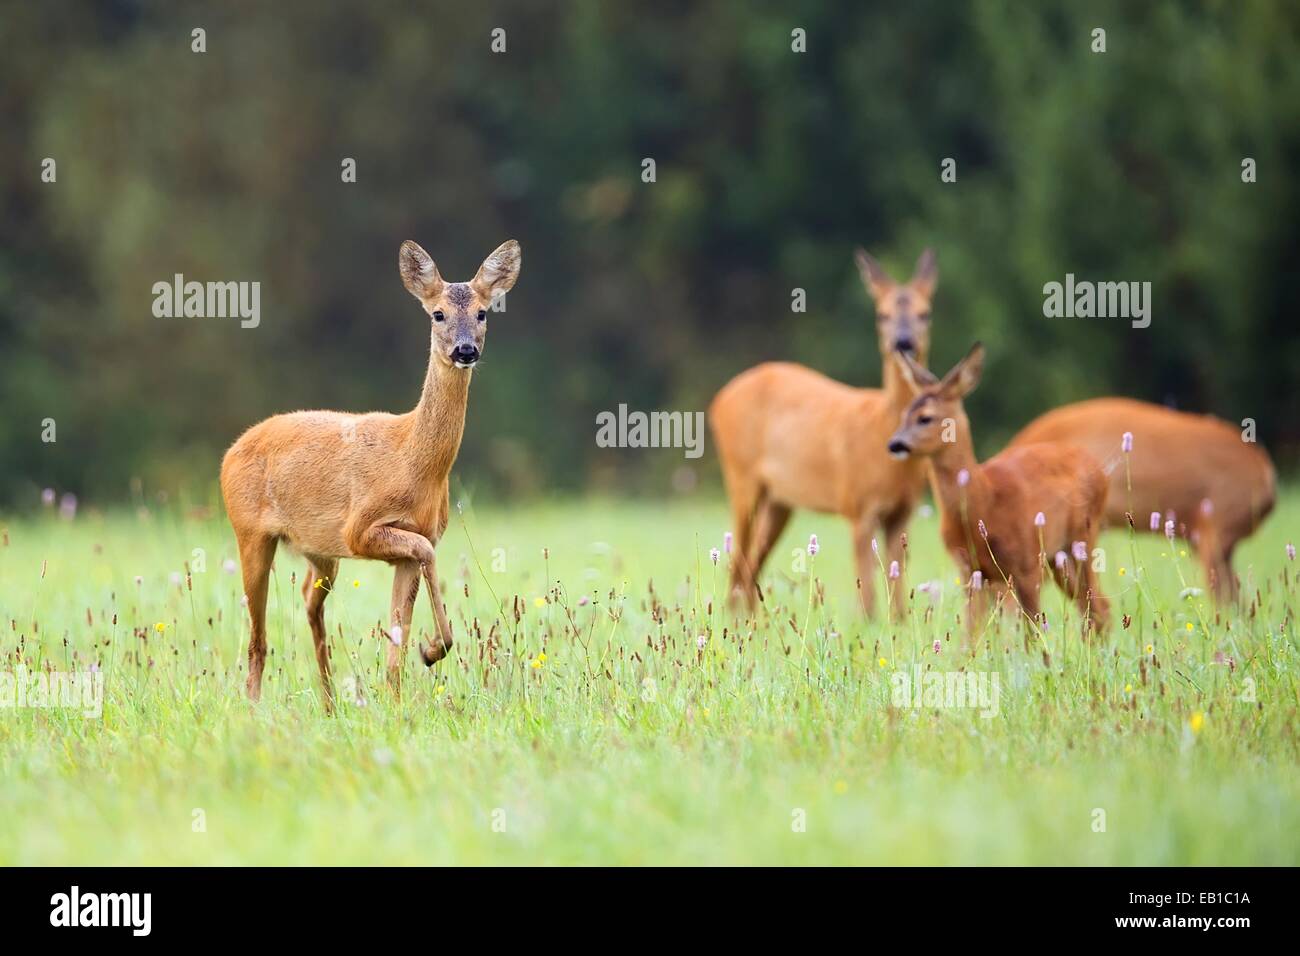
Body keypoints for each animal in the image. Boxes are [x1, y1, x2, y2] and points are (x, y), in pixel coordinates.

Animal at [220, 238, 520, 712]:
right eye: (437, 313)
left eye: (483, 312)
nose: (465, 350)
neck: (412, 461)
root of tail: (230, 452)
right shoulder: (360, 529)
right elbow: (424, 560)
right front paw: (432, 650)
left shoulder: (410, 543)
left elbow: (400, 629)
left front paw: (401, 694)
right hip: (250, 533)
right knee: (257, 636)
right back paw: (254, 708)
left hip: (319, 551)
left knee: (309, 602)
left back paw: (328, 703)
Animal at [707, 251, 941, 616]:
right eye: (882, 314)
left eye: (925, 313)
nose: (903, 343)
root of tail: (719, 399)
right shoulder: (858, 504)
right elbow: (868, 599)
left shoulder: (902, 513)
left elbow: (898, 599)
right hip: (740, 475)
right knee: (738, 563)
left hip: (779, 500)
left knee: (749, 567)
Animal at [889, 343, 1112, 634]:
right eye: (903, 414)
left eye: (925, 418)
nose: (895, 444)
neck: (985, 500)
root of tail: (1100, 471)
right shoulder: (971, 571)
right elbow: (971, 633)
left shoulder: (1026, 564)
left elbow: (1032, 630)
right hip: (1056, 557)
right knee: (1093, 606)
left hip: (1082, 537)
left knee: (1097, 605)